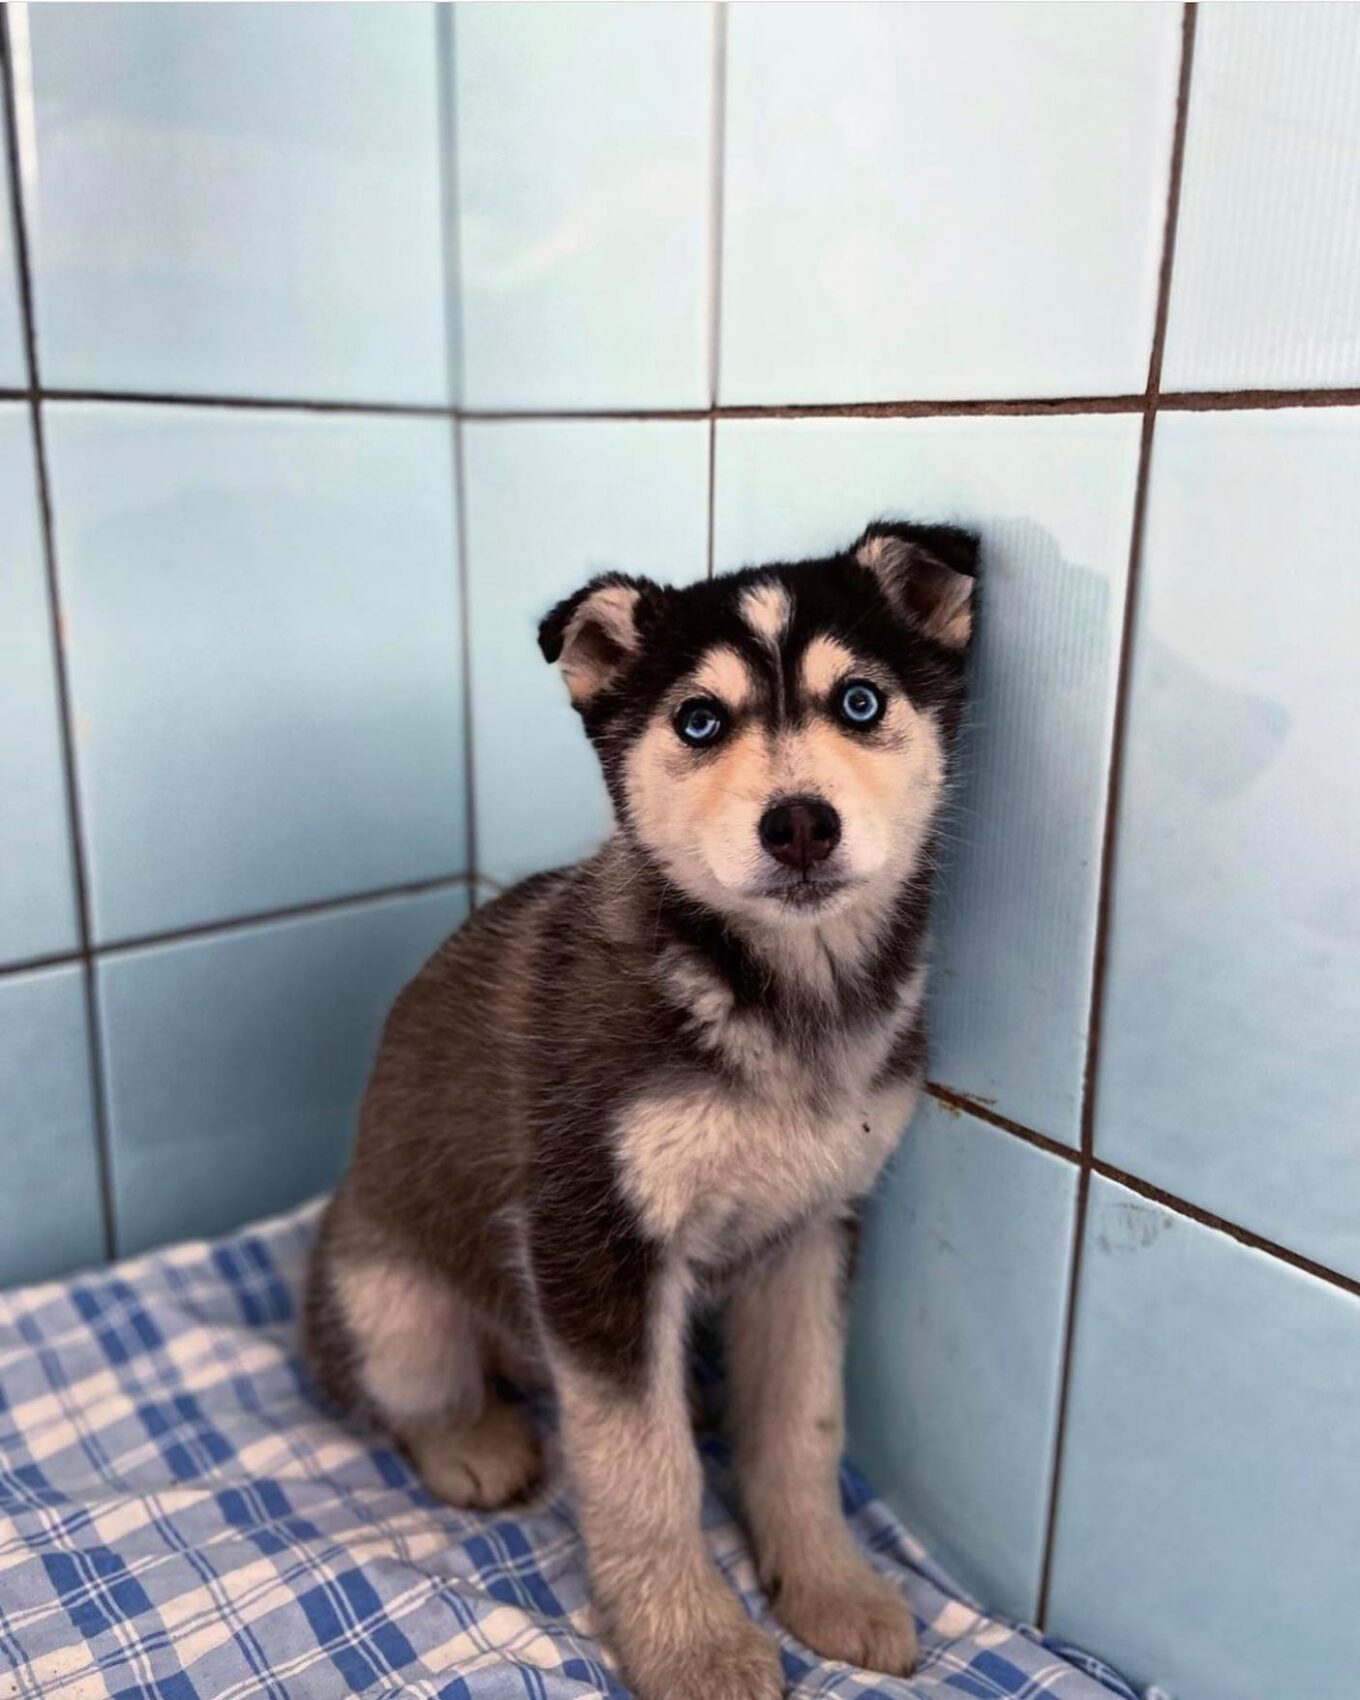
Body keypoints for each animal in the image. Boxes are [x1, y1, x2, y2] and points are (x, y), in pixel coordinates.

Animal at [304, 519, 978, 1700]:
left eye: (859, 701)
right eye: (698, 721)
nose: (799, 824)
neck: (781, 999)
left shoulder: (811, 1236)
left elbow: (801, 1425)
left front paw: (826, 1582)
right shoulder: (593, 1242)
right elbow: (639, 1467)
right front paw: (690, 1642)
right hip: (387, 1303)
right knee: (403, 1391)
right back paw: (473, 1440)